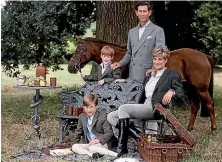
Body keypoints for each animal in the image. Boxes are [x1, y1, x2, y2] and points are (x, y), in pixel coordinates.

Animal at [68, 36, 216, 132]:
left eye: (79, 50)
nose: (71, 67)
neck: (118, 59)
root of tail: (205, 56)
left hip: (201, 89)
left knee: (209, 104)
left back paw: (213, 129)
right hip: (191, 89)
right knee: (195, 106)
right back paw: (189, 128)